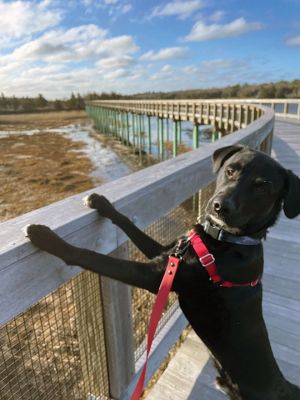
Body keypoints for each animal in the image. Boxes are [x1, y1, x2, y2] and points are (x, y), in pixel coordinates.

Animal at [25, 145, 300, 398]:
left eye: (262, 187)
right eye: (230, 170)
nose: (220, 206)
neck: (225, 241)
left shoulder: (155, 275)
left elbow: (92, 257)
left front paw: (46, 238)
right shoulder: (168, 254)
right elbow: (129, 224)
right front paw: (102, 204)